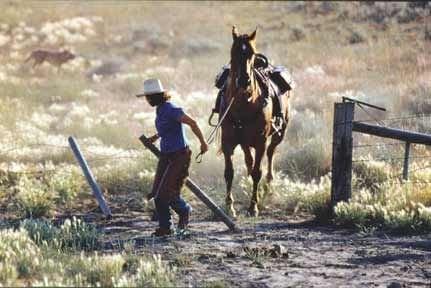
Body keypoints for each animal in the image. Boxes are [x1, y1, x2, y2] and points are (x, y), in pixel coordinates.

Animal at [223, 26, 290, 216]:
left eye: (251, 53)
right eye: (233, 51)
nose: (244, 80)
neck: (243, 104)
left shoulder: (261, 142)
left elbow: (257, 172)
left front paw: (253, 206)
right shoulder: (227, 142)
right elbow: (229, 172)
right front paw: (229, 206)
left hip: (279, 134)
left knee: (270, 153)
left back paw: (268, 186)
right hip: (245, 141)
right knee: (248, 159)